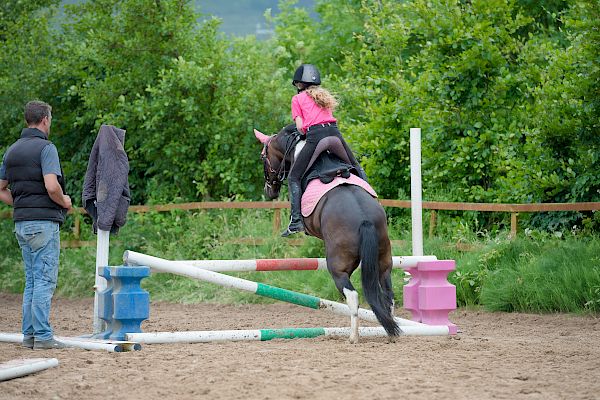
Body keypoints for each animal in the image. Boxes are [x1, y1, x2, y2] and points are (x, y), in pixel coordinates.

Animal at [253, 123, 398, 342]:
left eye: (263, 157)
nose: (269, 190)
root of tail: (364, 219)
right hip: (384, 259)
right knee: (388, 294)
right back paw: (391, 333)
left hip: (337, 265)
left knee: (352, 295)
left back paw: (353, 337)